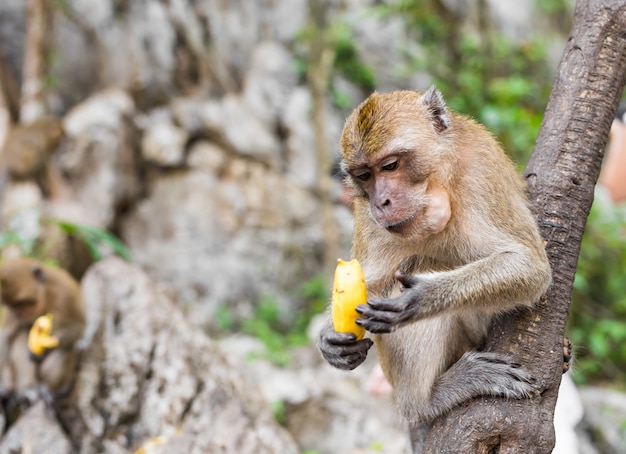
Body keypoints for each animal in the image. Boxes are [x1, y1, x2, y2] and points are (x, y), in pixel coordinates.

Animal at [0, 258, 85, 402]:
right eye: (12, 306)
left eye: (23, 303)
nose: (19, 315)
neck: (46, 294)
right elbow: (6, 335)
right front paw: (3, 383)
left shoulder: (66, 292)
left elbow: (78, 325)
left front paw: (43, 352)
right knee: (21, 335)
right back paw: (29, 387)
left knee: (67, 348)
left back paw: (50, 389)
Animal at [320, 87, 548, 448]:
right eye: (365, 176)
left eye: (390, 165)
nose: (380, 202)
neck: (440, 181)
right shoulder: (366, 216)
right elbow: (372, 280)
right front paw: (330, 338)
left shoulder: (480, 175)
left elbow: (530, 265)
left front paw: (421, 298)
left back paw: (424, 401)